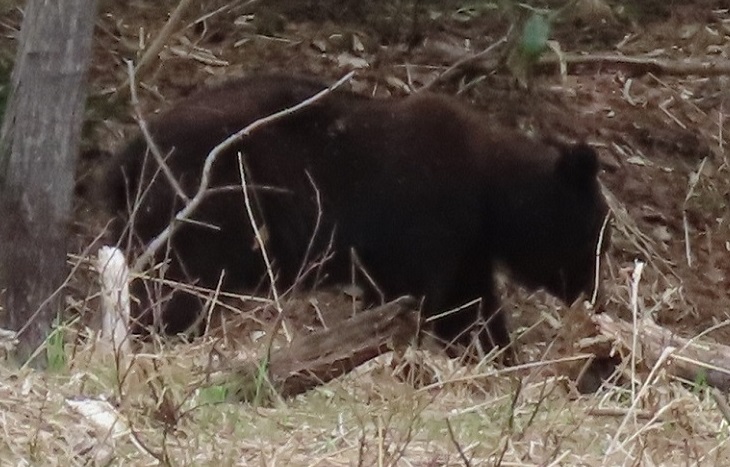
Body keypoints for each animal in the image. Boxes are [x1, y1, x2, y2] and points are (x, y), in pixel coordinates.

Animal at [105, 75, 608, 356]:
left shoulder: (464, 247)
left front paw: (496, 359)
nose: (593, 295)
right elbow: (418, 297)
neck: (489, 194)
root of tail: (126, 158)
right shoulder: (424, 220)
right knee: (176, 286)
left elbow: (470, 309)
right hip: (207, 210)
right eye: (595, 237)